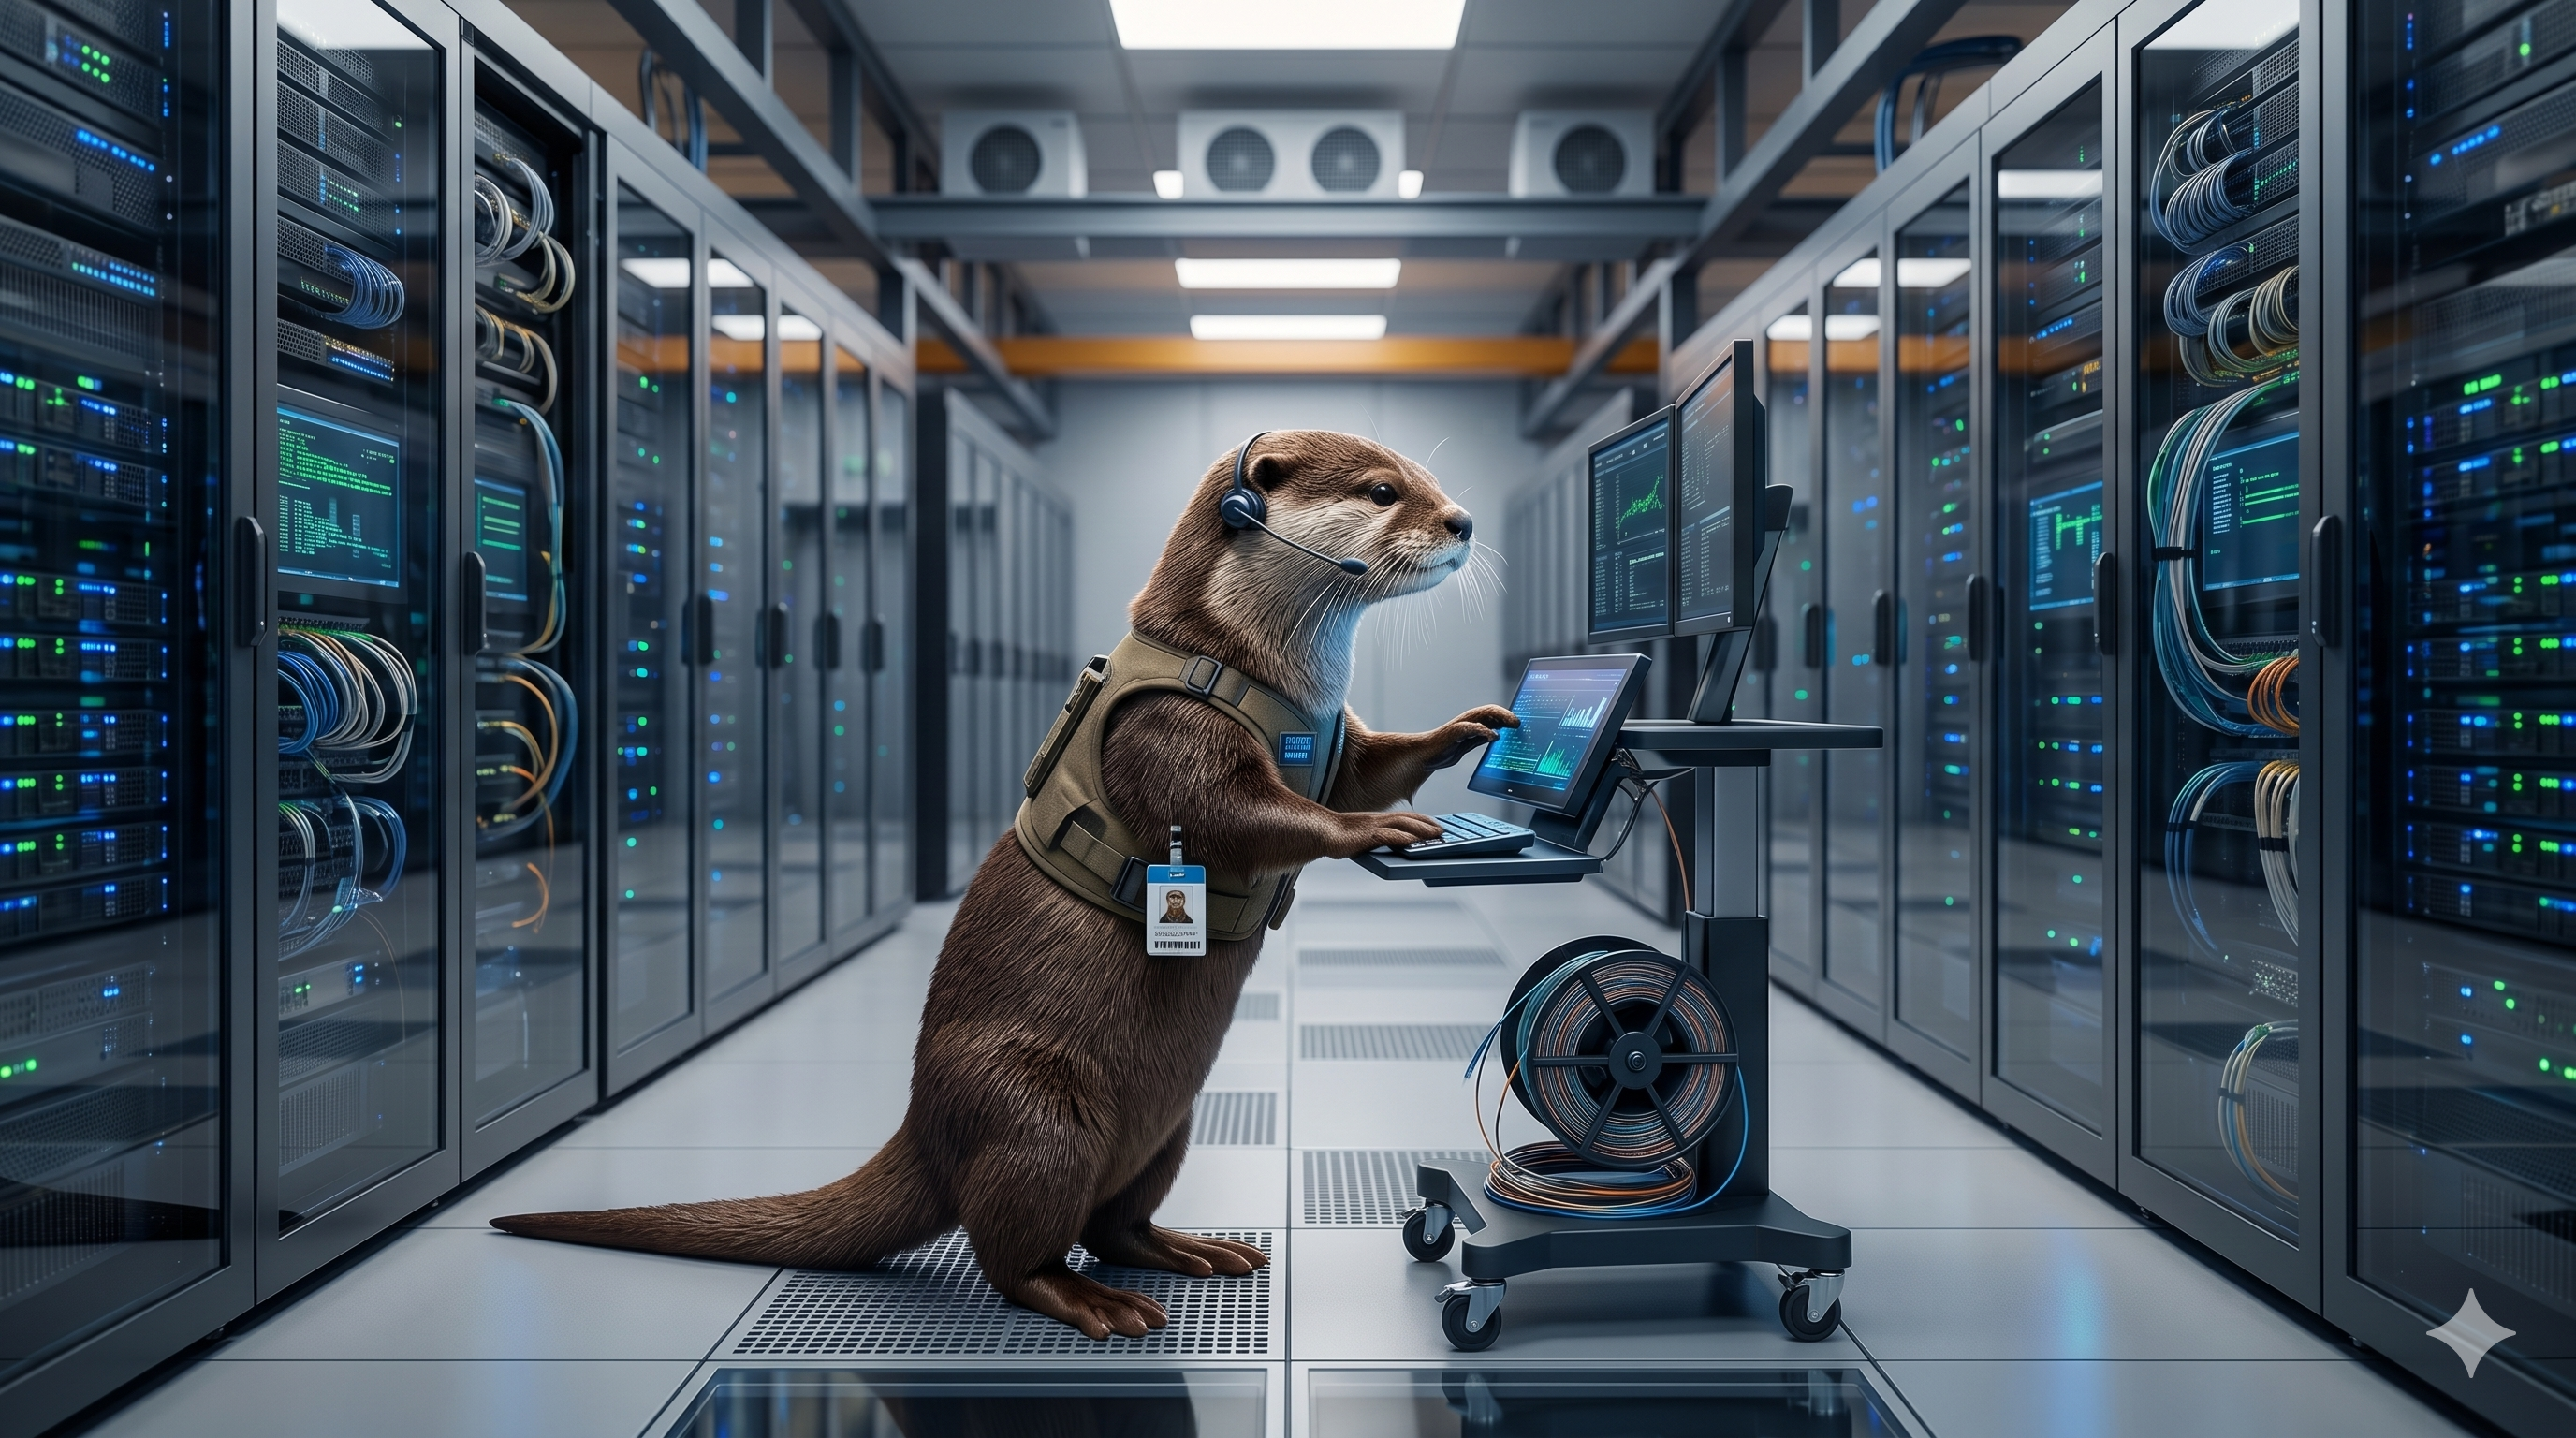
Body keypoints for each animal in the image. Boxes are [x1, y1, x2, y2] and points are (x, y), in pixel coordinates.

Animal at [492, 430, 1515, 1339]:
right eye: (1384, 490)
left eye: (1427, 478)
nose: (1463, 520)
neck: (1259, 669)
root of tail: (924, 1128)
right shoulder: (1168, 727)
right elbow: (1244, 815)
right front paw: (1373, 832)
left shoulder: (1339, 735)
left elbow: (1375, 766)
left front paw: (1471, 728)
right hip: (1037, 1115)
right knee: (1012, 1251)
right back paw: (1096, 1304)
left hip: (1170, 1126)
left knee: (1115, 1221)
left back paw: (1190, 1251)